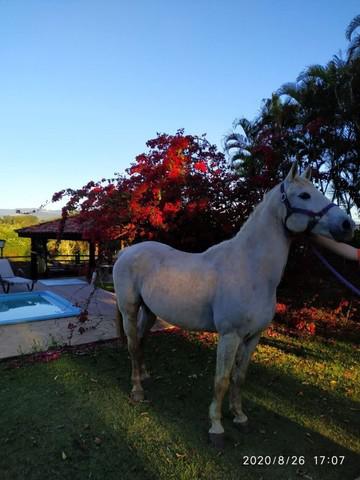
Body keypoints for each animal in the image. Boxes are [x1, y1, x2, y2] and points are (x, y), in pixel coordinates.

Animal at [113, 163, 354, 448]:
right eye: (304, 195)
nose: (347, 224)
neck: (251, 269)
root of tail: (126, 252)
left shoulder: (253, 337)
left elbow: (239, 377)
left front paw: (239, 416)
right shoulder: (230, 336)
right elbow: (222, 379)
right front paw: (216, 427)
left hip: (150, 312)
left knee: (140, 343)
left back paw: (144, 375)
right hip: (129, 310)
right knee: (132, 344)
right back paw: (137, 389)